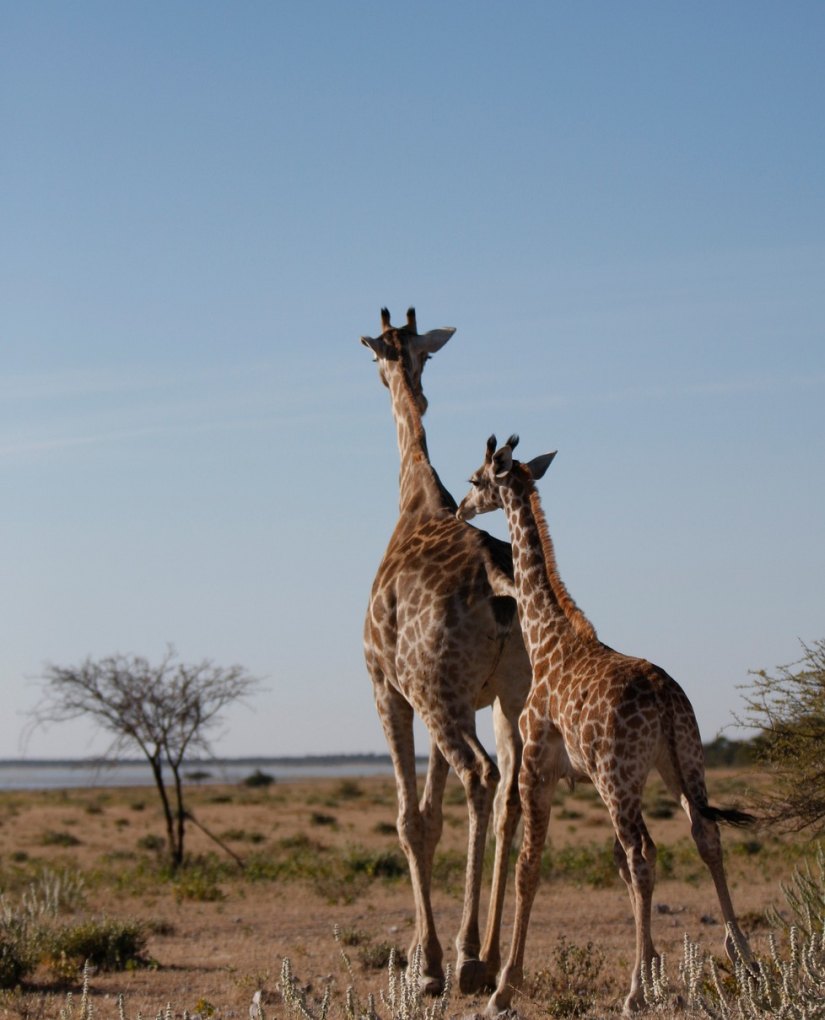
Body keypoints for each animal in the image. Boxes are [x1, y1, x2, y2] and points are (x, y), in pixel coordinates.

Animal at [358, 306, 534, 991]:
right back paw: (491, 954)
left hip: (441, 697)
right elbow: (431, 818)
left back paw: (464, 959)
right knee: (512, 793)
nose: (396, 378)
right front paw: (418, 951)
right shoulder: (454, 697)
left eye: (377, 358)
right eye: (417, 354)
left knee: (481, 777)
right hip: (508, 696)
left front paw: (425, 961)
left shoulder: (389, 688)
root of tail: (494, 577)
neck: (414, 500)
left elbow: (410, 821)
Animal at [456, 434, 754, 1015]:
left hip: (621, 778)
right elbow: (607, 864)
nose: (460, 510)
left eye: (476, 479)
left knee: (644, 854)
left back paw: (636, 992)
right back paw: (745, 960)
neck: (546, 638)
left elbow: (530, 866)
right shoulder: (583, 776)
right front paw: (659, 968)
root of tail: (664, 697)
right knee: (703, 834)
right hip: (682, 762)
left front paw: (504, 986)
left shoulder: (538, 765)